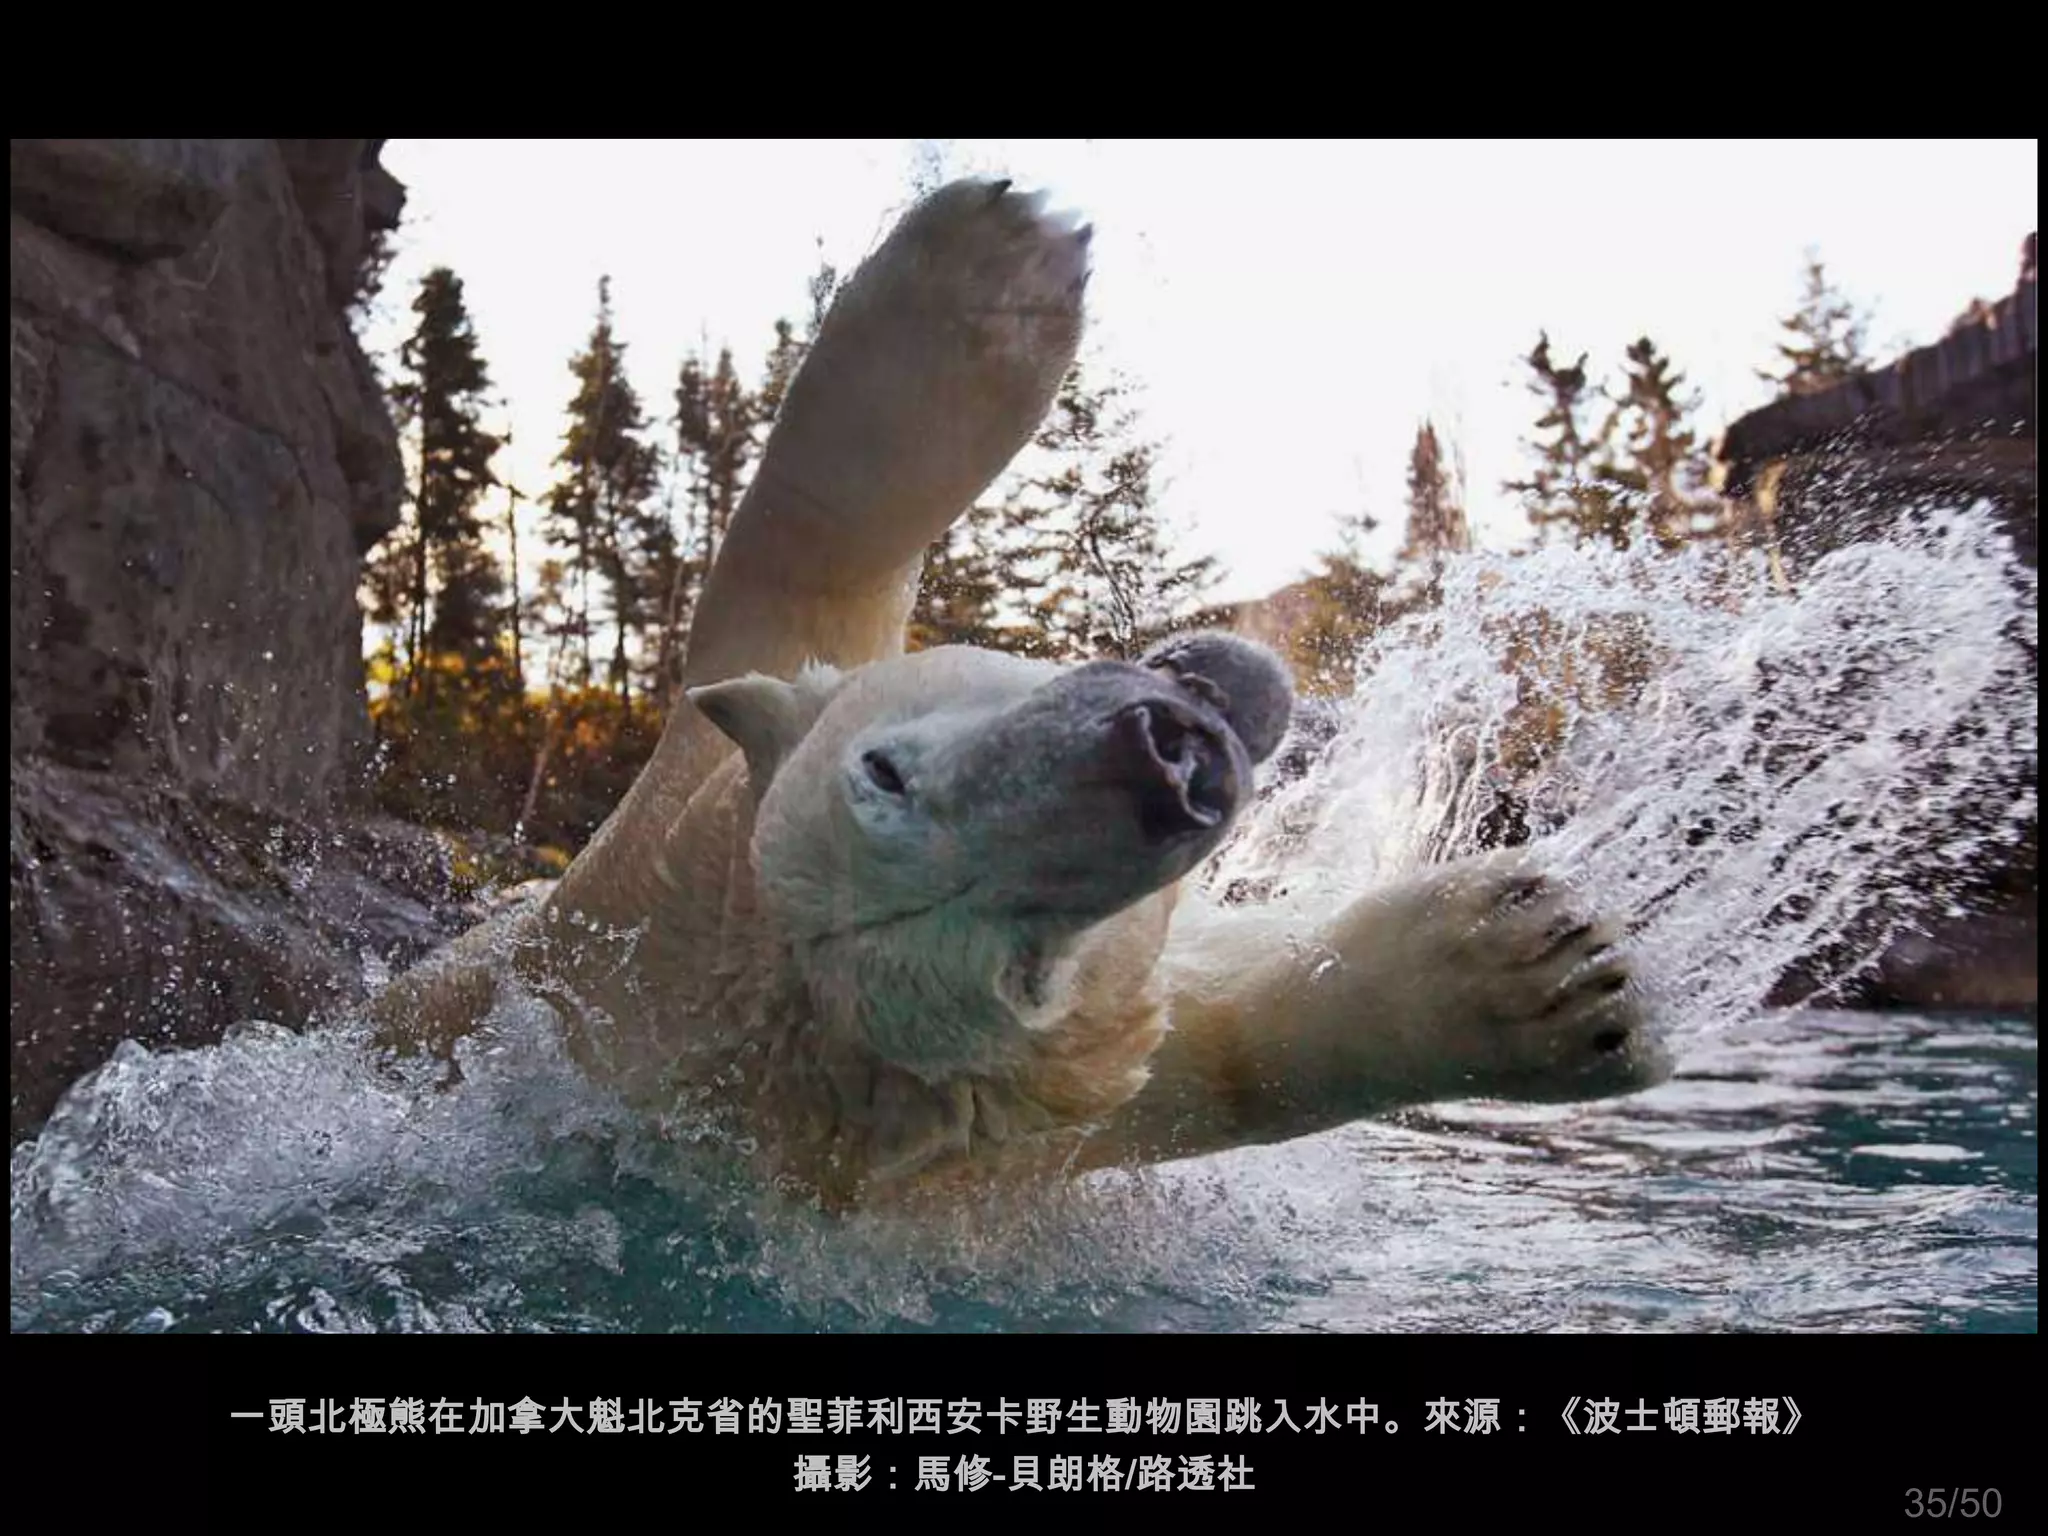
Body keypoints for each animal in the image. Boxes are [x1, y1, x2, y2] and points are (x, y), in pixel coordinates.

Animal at [370, 178, 1665, 1209]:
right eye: (1014, 964)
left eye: (884, 769)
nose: (1160, 758)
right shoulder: (1042, 1111)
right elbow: (1233, 1056)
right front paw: (1563, 971)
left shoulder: (665, 834)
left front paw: (984, 270)